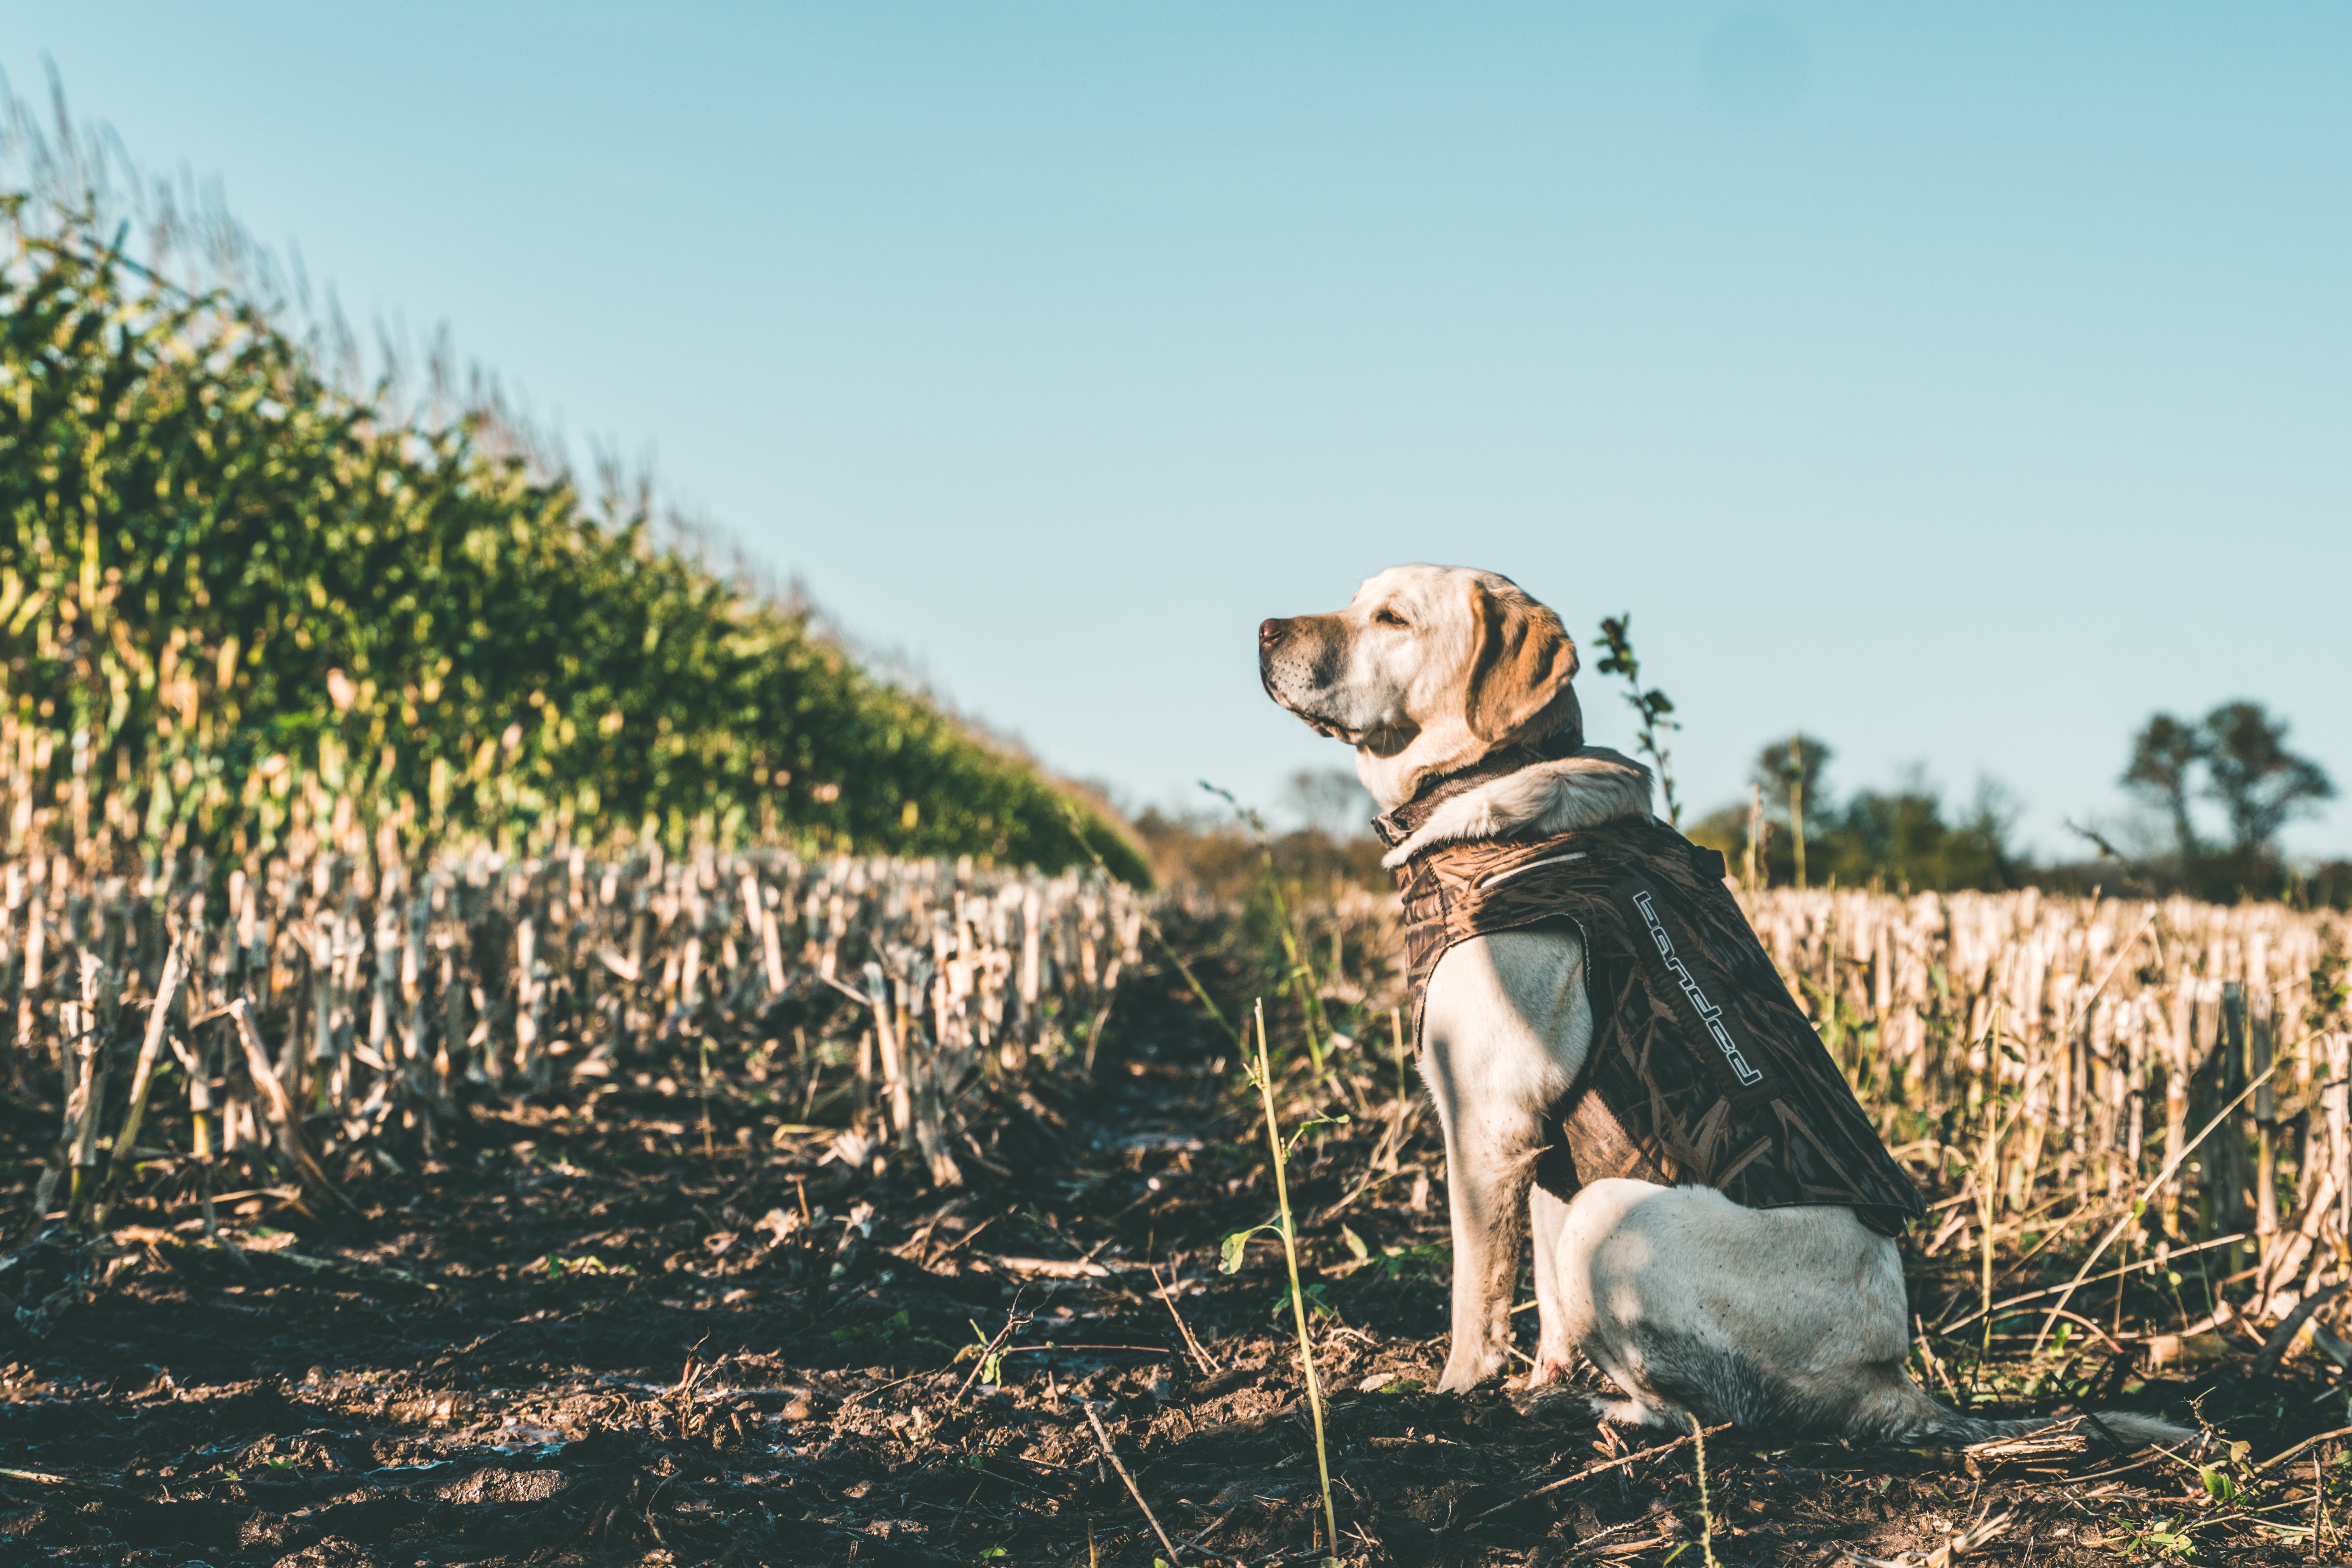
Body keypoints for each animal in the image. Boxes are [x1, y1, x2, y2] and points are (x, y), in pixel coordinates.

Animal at [1260, 566, 2192, 1448]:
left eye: (1392, 618)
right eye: (1353, 599)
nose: (1265, 630)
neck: (1490, 782)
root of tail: (1887, 1382)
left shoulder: (1486, 1117)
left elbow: (1474, 1293)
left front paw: (1456, 1394)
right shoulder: (1551, 1144)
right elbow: (1545, 1302)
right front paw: (1531, 1381)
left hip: (1612, 1213)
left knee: (1712, 1416)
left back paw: (1611, 1412)